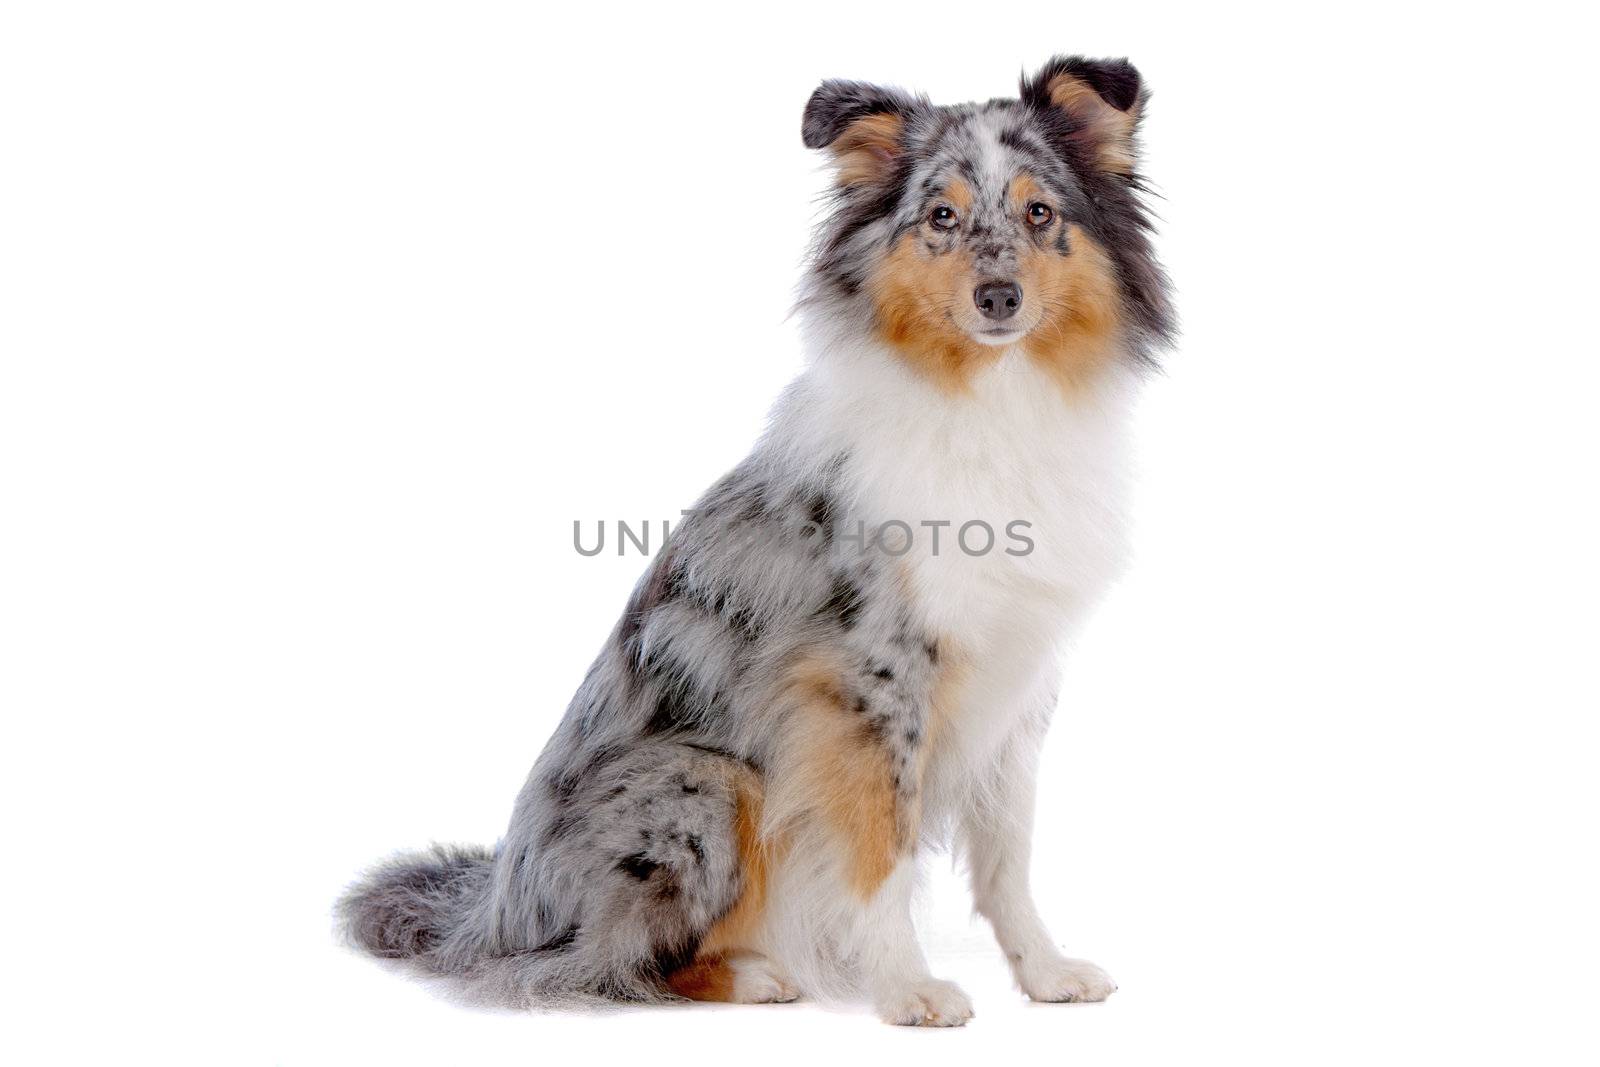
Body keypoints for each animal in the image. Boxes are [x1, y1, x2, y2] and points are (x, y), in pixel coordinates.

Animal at [337, 56, 1171, 1023]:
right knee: (599, 962)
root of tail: (490, 909)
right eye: (941, 216)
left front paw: (1045, 972)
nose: (998, 298)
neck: (989, 400)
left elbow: (1008, 858)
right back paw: (752, 973)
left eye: (1040, 212)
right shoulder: (871, 682)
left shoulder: (1019, 680)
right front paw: (909, 987)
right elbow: (882, 851)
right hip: (706, 781)